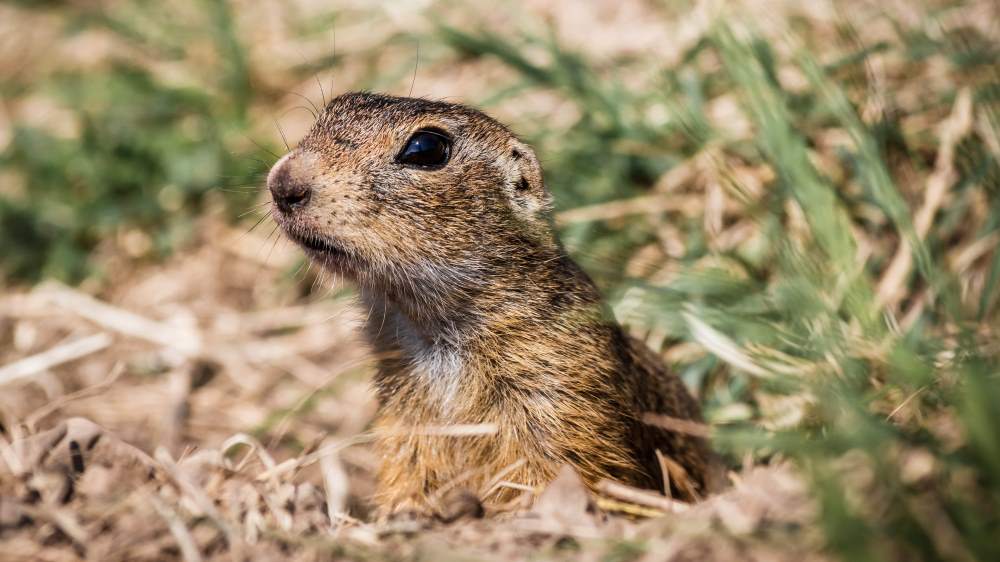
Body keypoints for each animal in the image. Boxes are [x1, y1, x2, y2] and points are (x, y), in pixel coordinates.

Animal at [266, 92, 720, 512]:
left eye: (426, 148)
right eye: (333, 108)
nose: (283, 182)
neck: (431, 327)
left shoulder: (560, 391)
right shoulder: (403, 416)